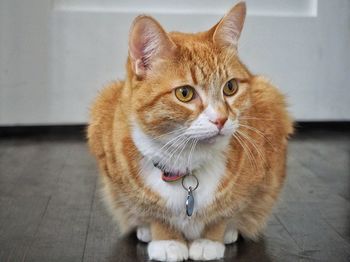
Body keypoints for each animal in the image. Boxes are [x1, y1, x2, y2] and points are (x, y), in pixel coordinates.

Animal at [87, 1, 292, 260]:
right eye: (184, 93)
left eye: (230, 87)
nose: (221, 119)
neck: (185, 160)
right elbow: (153, 212)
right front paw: (166, 240)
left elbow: (223, 212)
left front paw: (210, 241)